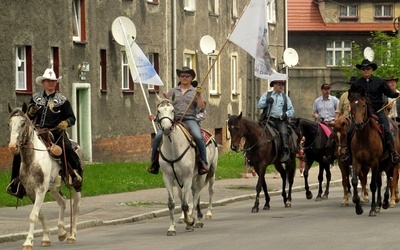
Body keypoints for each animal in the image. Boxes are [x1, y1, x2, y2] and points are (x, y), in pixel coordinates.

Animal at [7, 102, 81, 249]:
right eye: (9, 123)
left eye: (23, 123)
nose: (12, 146)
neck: (32, 159)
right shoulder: (31, 191)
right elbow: (39, 214)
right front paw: (46, 238)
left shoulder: (40, 189)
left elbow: (33, 215)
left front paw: (28, 242)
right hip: (53, 188)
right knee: (63, 201)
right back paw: (62, 232)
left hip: (76, 185)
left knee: (75, 207)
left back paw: (71, 235)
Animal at [156, 94, 219, 235]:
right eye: (159, 111)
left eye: (172, 110)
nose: (167, 129)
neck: (173, 148)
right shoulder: (168, 177)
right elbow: (172, 203)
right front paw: (172, 228)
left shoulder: (187, 176)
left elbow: (185, 204)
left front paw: (189, 222)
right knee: (193, 193)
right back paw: (196, 218)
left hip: (208, 172)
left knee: (205, 192)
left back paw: (204, 216)